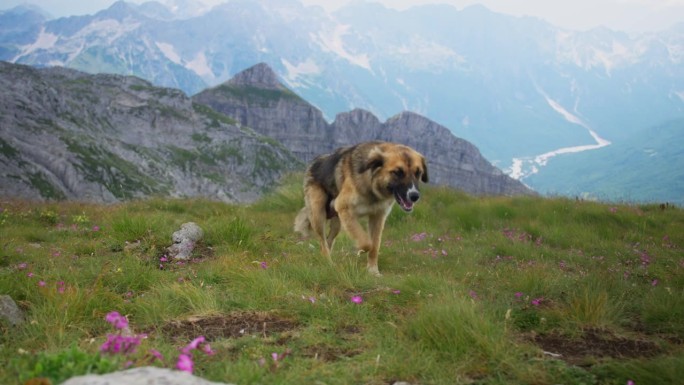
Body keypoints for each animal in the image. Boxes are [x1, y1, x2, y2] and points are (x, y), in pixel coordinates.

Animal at [294, 141, 428, 276]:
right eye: (398, 172)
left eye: (418, 173)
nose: (414, 196)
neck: (371, 185)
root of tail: (314, 163)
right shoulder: (344, 208)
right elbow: (366, 243)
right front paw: (359, 250)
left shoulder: (377, 217)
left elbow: (375, 246)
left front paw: (373, 271)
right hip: (318, 215)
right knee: (323, 242)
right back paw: (328, 263)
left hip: (337, 224)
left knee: (328, 241)